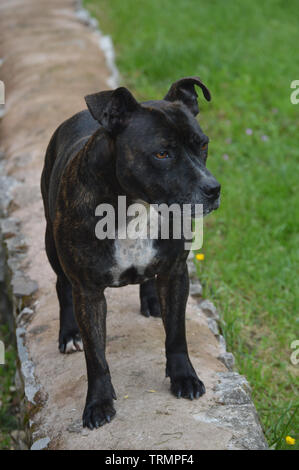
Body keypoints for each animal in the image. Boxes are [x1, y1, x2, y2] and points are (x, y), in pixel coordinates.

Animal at [41, 75, 220, 428]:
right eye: (162, 154)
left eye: (203, 145)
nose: (213, 189)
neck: (135, 205)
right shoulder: (88, 292)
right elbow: (96, 356)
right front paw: (97, 403)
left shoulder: (175, 272)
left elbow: (176, 335)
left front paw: (184, 377)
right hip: (51, 244)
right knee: (61, 286)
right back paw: (69, 334)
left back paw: (151, 300)